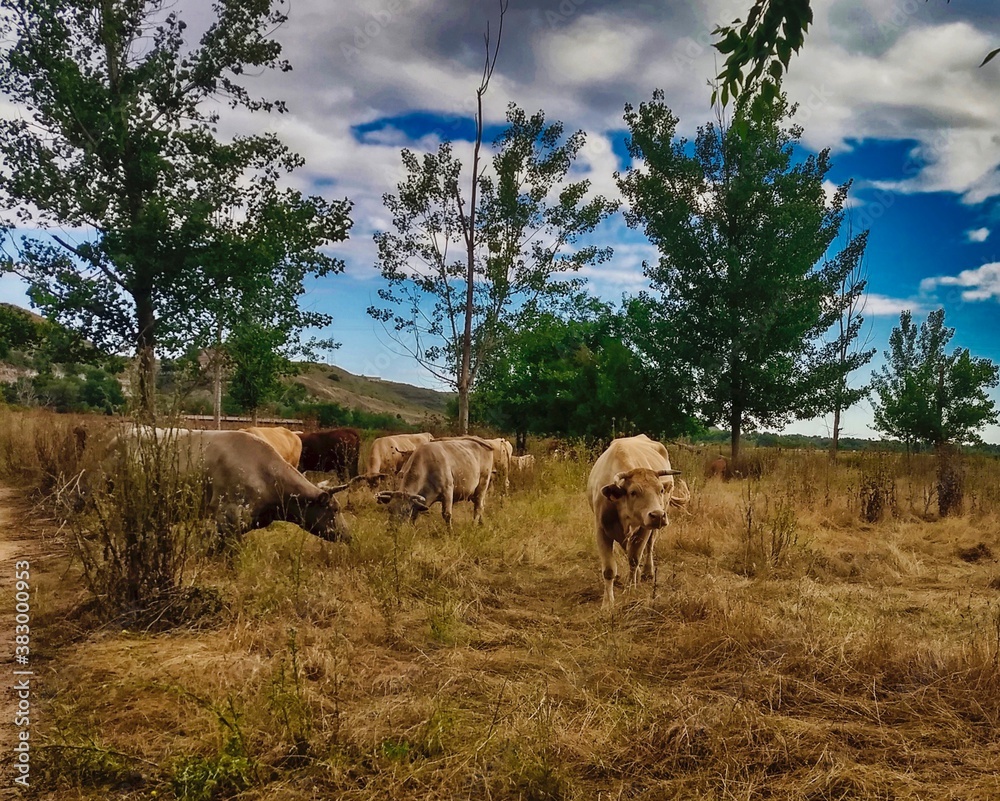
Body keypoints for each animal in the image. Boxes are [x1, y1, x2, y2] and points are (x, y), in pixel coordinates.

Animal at [587, 434, 686, 609]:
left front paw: (630, 588)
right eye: (633, 492)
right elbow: (609, 569)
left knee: (648, 547)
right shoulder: (601, 530)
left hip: (654, 527)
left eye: (661, 490)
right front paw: (608, 603)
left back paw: (647, 571)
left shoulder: (644, 529)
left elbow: (634, 559)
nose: (658, 515)